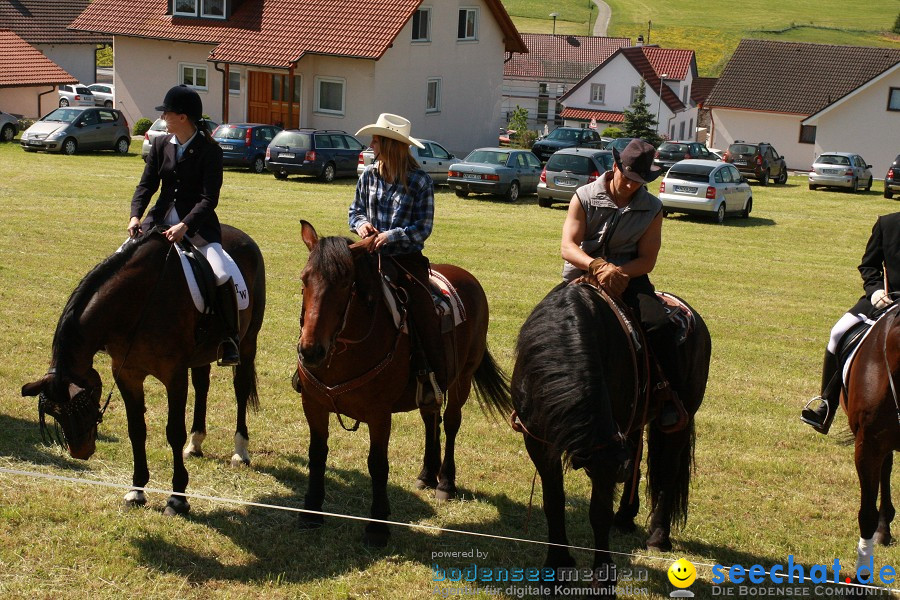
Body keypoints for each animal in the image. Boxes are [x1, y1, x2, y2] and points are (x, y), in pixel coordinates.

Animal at [21, 225, 266, 516]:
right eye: (55, 414)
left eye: (81, 407)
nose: (80, 451)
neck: (138, 301)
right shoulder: (127, 373)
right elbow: (136, 429)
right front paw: (136, 490)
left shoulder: (174, 375)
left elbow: (174, 431)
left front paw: (177, 498)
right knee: (202, 385)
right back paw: (195, 443)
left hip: (248, 342)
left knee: (240, 389)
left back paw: (240, 451)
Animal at [294, 221, 510, 548]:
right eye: (305, 279)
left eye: (345, 283)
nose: (311, 351)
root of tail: (467, 277)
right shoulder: (314, 405)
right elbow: (317, 455)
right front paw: (311, 512)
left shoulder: (379, 414)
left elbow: (377, 464)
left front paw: (378, 526)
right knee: (431, 420)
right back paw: (427, 474)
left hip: (462, 377)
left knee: (451, 423)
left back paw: (445, 482)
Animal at [512, 282, 712, 592]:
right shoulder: (539, 442)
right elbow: (554, 501)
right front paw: (556, 565)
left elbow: (598, 510)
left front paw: (603, 573)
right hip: (635, 422)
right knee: (639, 459)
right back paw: (625, 517)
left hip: (682, 419)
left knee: (667, 472)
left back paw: (658, 536)